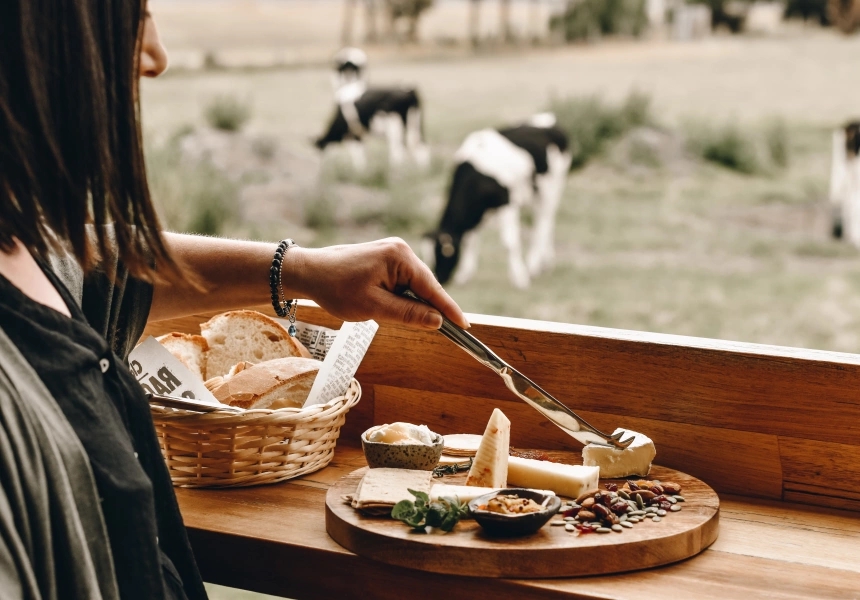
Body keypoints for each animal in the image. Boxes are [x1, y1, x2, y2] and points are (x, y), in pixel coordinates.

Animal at [424, 116, 572, 290]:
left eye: (441, 254)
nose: (439, 279)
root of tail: (548, 120)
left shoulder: (507, 202)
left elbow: (510, 241)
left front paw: (520, 277)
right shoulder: (477, 213)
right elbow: (471, 239)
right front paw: (465, 274)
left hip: (551, 185)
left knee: (545, 220)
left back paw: (533, 265)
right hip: (536, 192)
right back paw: (546, 263)